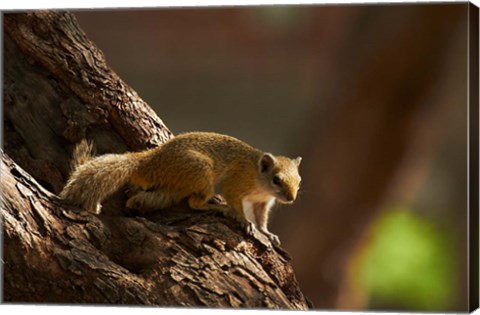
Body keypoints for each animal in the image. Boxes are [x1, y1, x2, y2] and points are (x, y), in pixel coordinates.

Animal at [59, 132, 300, 246]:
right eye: (276, 179)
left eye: (299, 180)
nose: (291, 199)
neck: (260, 180)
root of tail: (147, 161)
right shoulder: (236, 185)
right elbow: (237, 204)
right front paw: (243, 220)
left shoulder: (263, 202)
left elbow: (262, 218)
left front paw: (267, 232)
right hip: (200, 173)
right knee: (194, 203)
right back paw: (216, 208)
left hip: (172, 187)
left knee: (145, 199)